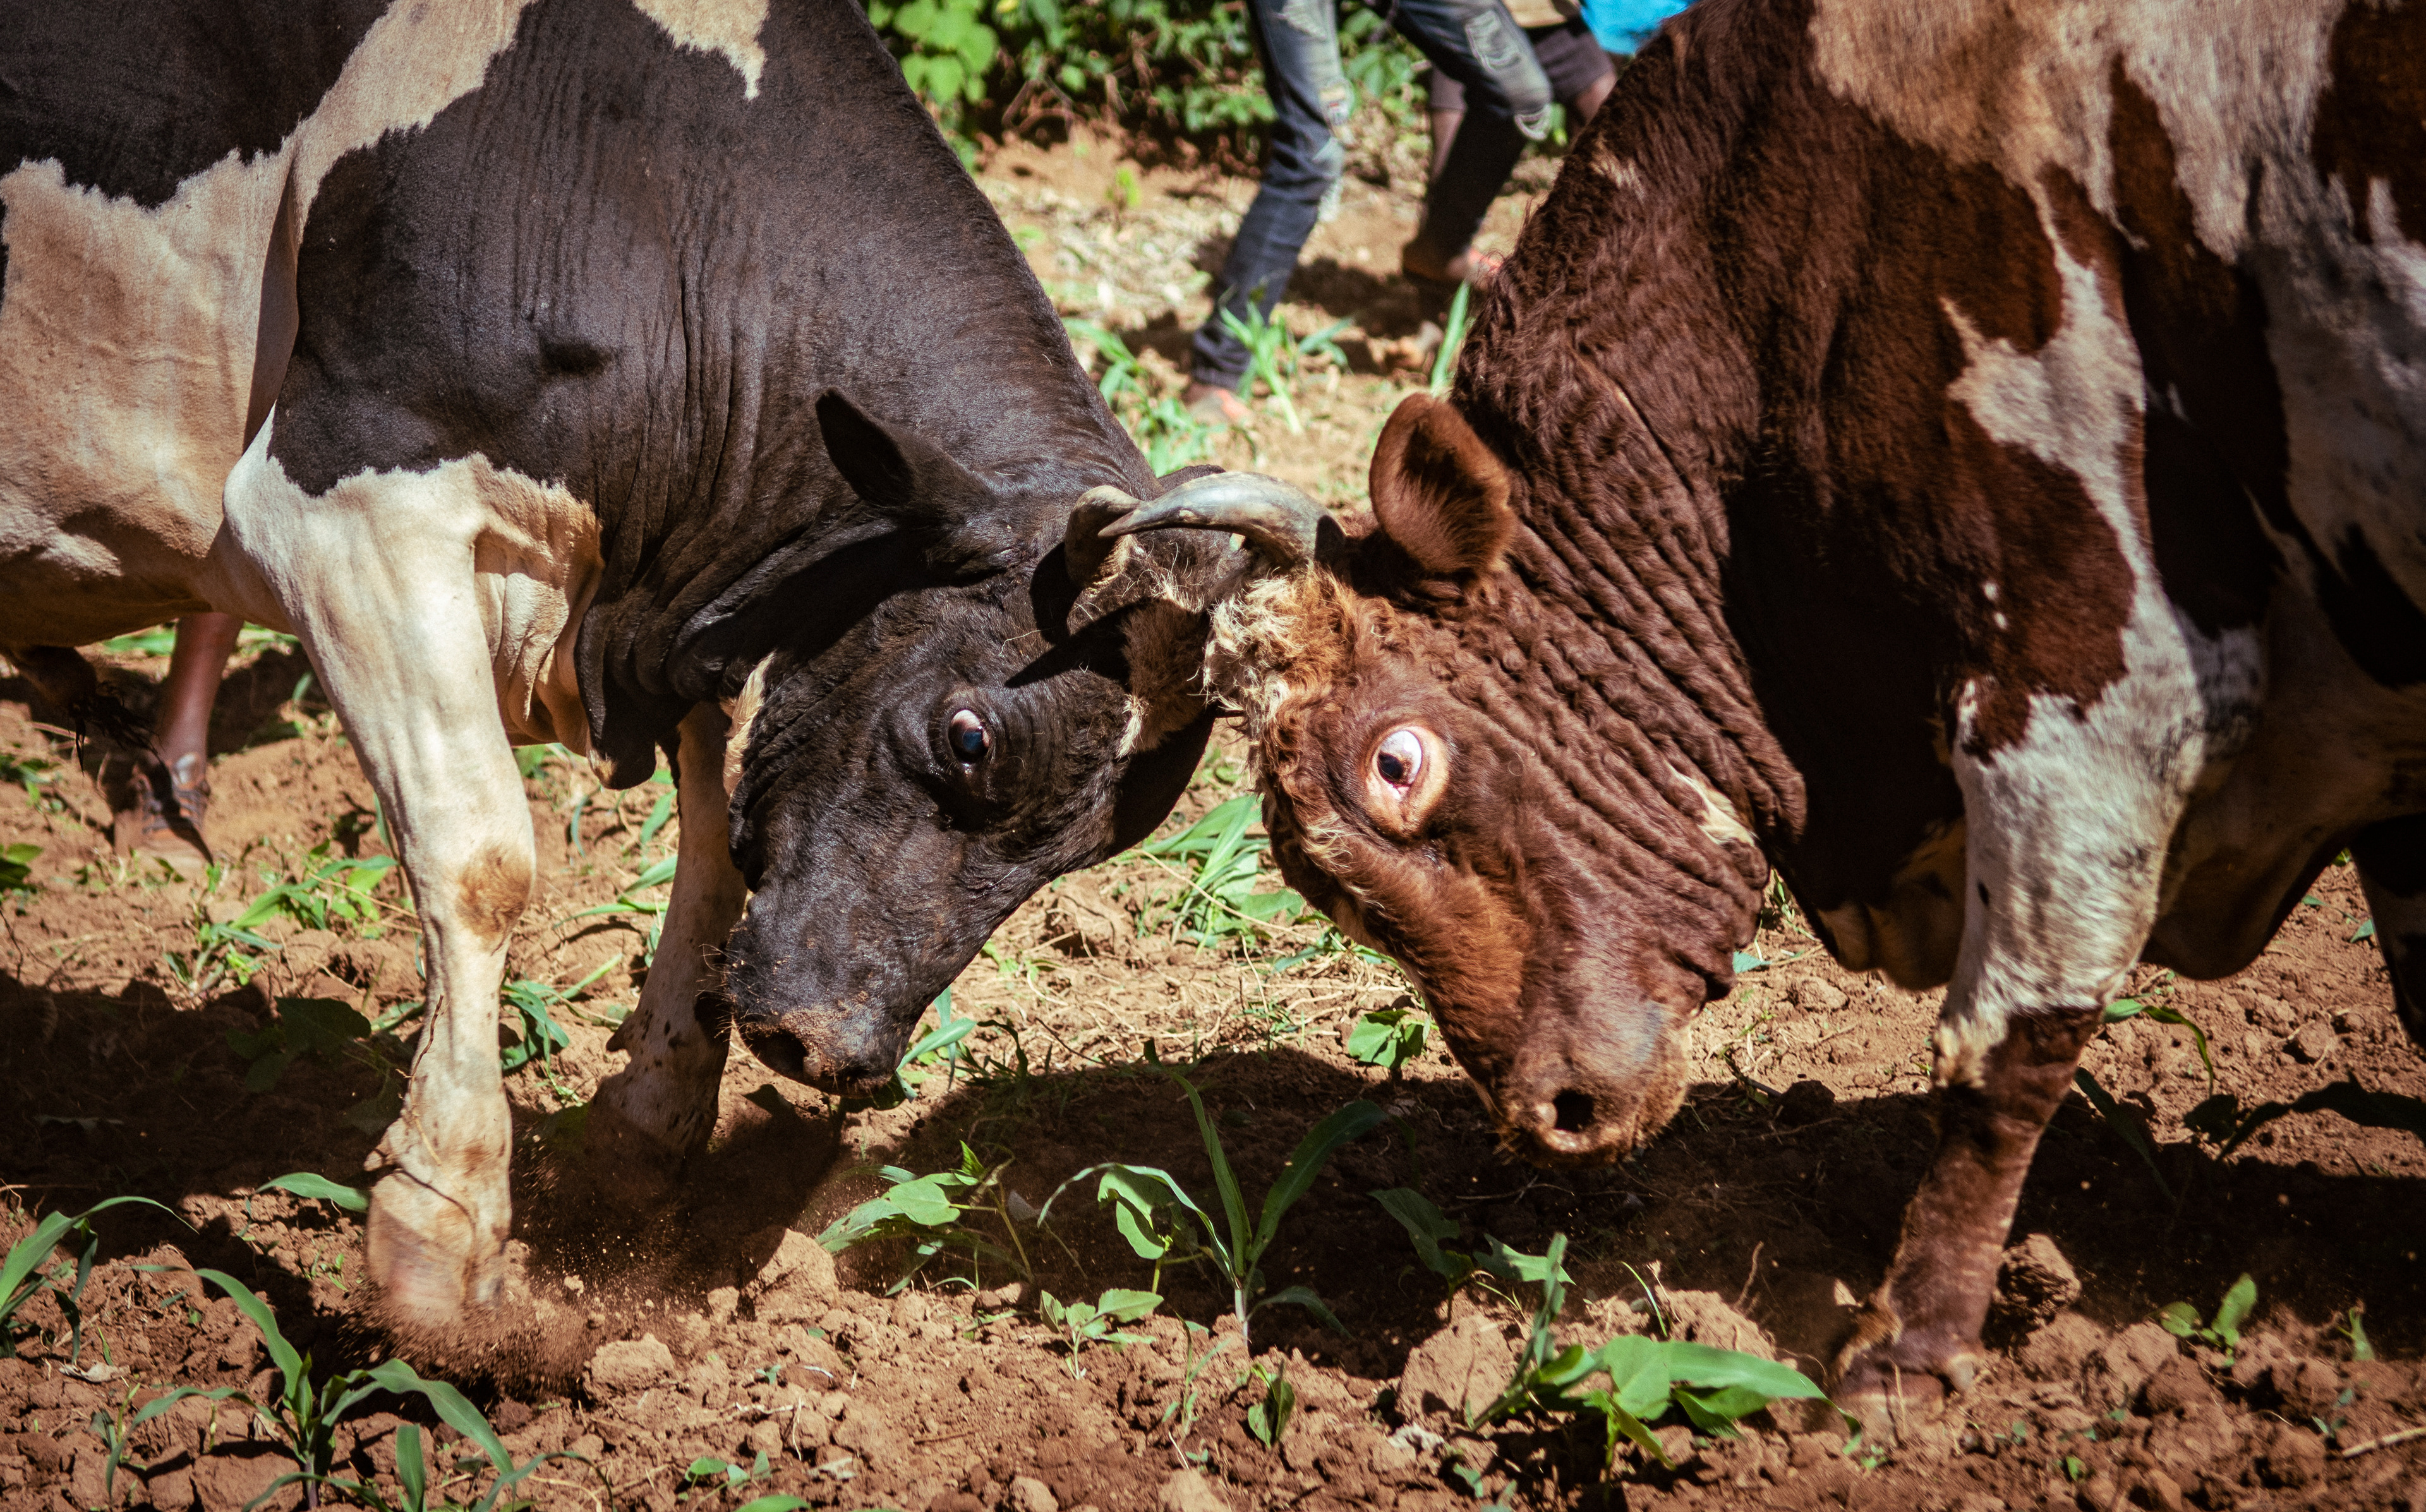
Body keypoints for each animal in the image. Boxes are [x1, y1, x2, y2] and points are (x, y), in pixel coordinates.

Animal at [0, 0, 1317, 1330]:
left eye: (1093, 846)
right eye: (968, 735)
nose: (835, 1050)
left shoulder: (698, 602)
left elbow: (721, 842)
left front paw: (647, 1130)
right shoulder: (340, 503)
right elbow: (481, 857)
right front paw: (446, 1236)